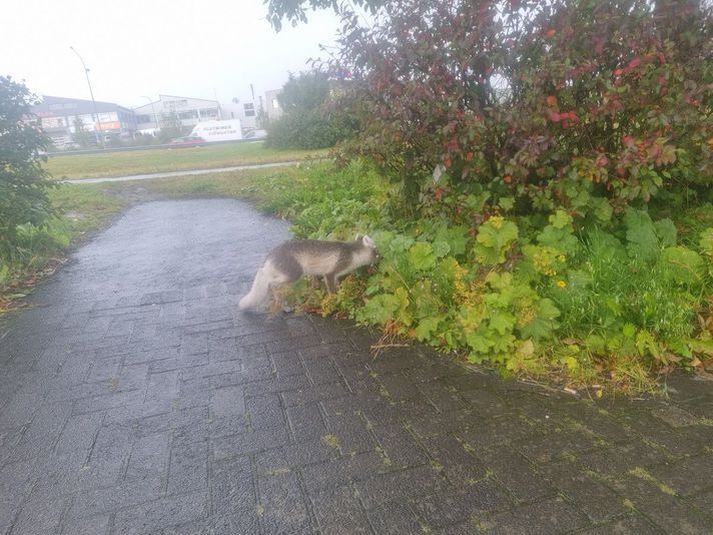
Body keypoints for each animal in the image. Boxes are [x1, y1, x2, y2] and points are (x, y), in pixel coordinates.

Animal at [238, 234, 378, 310]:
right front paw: (335, 299)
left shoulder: (336, 275)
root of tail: (270, 257)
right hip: (294, 271)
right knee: (273, 284)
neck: (353, 252)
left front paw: (339, 292)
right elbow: (331, 286)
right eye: (377, 252)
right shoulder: (333, 270)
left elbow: (336, 283)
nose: (380, 259)